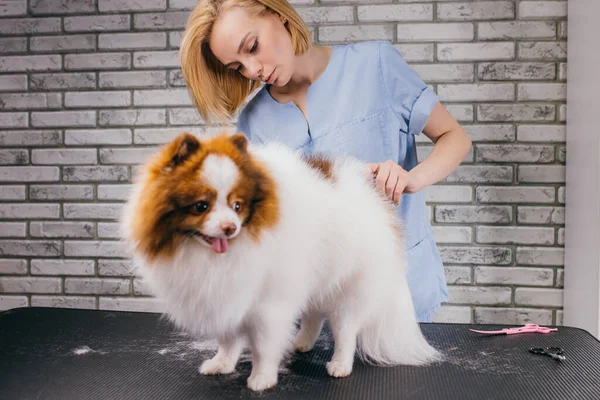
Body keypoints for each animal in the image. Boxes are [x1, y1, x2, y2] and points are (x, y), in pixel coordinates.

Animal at [122, 130, 440, 390]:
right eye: (201, 206)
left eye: (237, 206)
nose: (230, 228)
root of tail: (372, 195)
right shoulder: (227, 294)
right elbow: (228, 340)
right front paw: (221, 364)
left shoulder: (268, 304)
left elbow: (263, 346)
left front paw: (261, 379)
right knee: (313, 314)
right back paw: (301, 343)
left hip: (350, 287)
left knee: (345, 330)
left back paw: (339, 364)